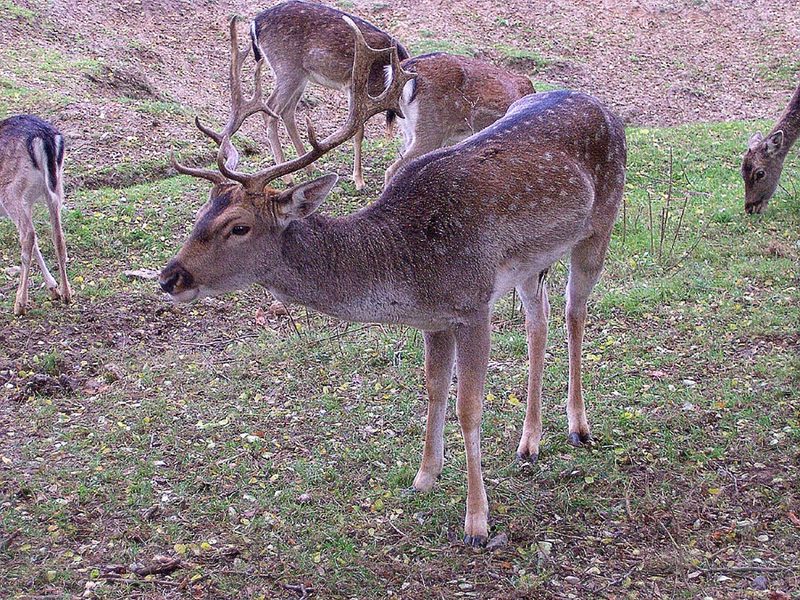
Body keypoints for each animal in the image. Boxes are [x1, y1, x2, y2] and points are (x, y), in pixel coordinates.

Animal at [0, 114, 72, 316]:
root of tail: (45, 137)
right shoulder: (28, 202)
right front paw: (53, 288)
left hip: (11, 191)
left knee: (28, 235)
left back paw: (20, 304)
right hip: (54, 188)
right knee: (57, 235)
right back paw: (65, 293)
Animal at [245, 0, 410, 189]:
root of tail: (255, 23)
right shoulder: (354, 86)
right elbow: (358, 131)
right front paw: (359, 181)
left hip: (301, 76)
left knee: (287, 111)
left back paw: (310, 168)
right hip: (287, 69)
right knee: (271, 110)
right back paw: (288, 177)